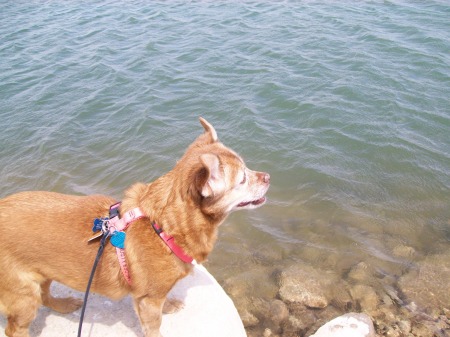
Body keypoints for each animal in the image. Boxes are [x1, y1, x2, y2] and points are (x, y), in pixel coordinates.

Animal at [0, 117, 268, 334]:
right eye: (243, 179)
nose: (267, 176)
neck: (163, 228)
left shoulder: (151, 297)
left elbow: (163, 301)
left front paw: (169, 305)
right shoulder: (148, 302)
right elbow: (154, 327)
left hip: (42, 274)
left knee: (45, 296)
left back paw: (63, 305)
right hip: (23, 296)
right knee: (16, 327)